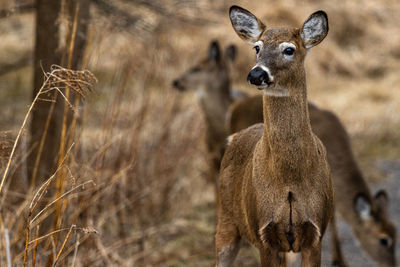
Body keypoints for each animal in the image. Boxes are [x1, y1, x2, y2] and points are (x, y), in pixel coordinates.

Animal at [216, 6, 334, 267]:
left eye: (289, 49)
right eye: (256, 47)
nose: (256, 74)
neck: (289, 178)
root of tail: (234, 137)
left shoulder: (316, 233)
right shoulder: (263, 234)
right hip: (226, 221)